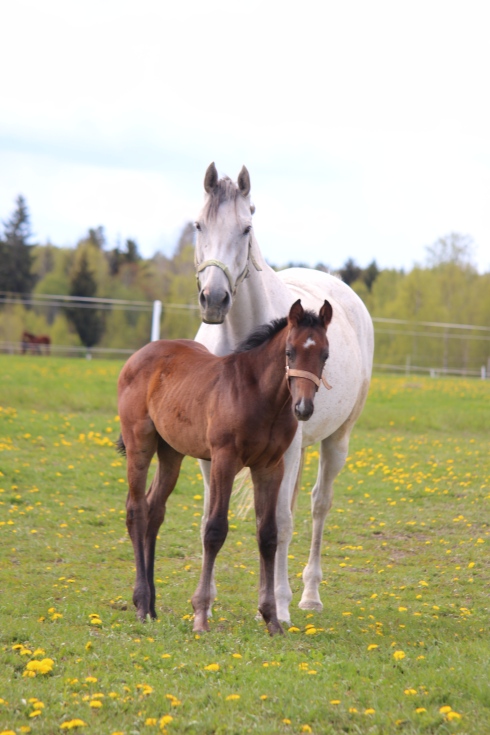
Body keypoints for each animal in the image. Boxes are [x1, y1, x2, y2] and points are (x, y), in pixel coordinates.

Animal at [117, 302, 334, 636]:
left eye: (325, 354)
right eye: (289, 351)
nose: (303, 408)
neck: (260, 397)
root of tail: (139, 355)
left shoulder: (270, 467)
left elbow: (268, 534)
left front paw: (271, 619)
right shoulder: (223, 460)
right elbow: (215, 530)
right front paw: (201, 615)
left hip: (172, 451)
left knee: (155, 509)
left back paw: (152, 607)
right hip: (139, 441)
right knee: (136, 509)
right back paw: (141, 604)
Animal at [193, 164, 374, 624]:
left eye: (246, 228)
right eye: (198, 225)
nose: (214, 299)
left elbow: (282, 521)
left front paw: (280, 606)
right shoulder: (210, 452)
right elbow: (209, 518)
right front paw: (207, 602)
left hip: (335, 441)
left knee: (317, 506)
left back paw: (308, 595)